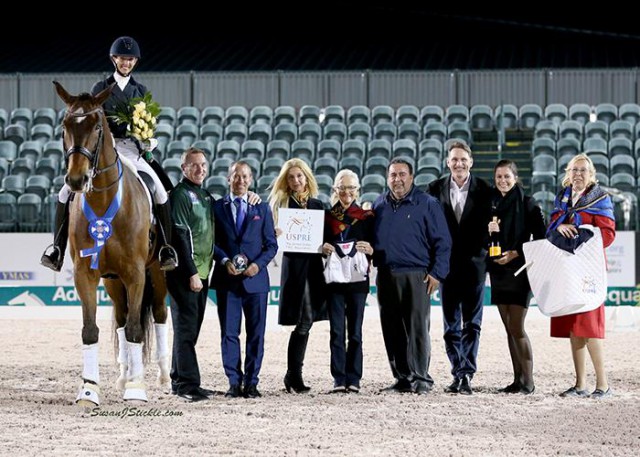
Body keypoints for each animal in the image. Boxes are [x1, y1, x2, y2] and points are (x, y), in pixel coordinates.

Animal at [53, 80, 170, 404]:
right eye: (65, 125)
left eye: (96, 126)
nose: (76, 180)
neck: (104, 201)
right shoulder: (86, 274)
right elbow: (91, 330)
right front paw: (89, 389)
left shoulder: (135, 273)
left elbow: (135, 330)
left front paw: (137, 390)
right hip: (112, 281)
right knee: (119, 317)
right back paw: (123, 375)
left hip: (156, 273)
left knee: (158, 314)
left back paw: (162, 376)